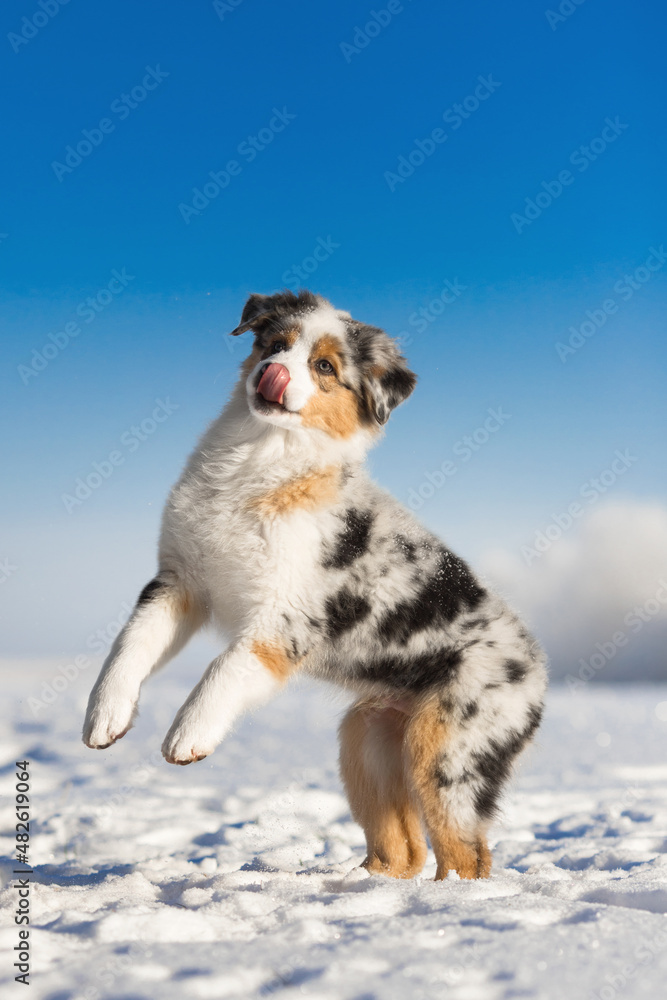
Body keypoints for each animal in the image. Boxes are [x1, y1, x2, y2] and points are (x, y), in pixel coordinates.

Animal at [83, 288, 548, 876]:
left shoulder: (283, 618)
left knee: (467, 852)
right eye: (273, 343)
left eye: (325, 367)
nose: (272, 374)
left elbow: (224, 668)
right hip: (367, 741)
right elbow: (130, 644)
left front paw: (188, 737)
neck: (260, 458)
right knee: (404, 849)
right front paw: (104, 718)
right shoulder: (179, 580)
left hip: (448, 750)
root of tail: (538, 665)